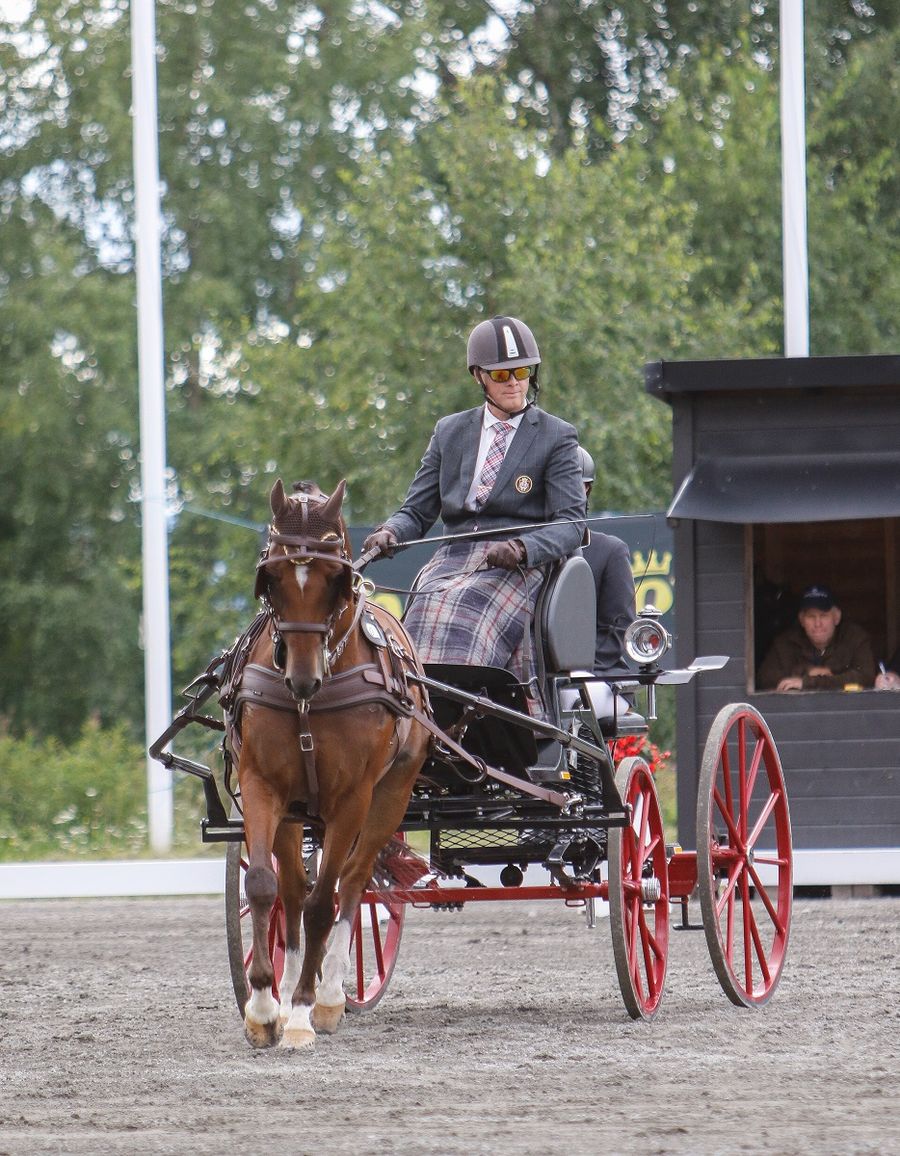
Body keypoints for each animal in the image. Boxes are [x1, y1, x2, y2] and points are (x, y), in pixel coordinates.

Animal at [235, 476, 432, 1049]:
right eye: (274, 577)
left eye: (332, 579)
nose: (302, 678)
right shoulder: (262, 784)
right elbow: (266, 886)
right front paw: (264, 1008)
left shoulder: (353, 798)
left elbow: (327, 900)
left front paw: (303, 1010)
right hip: (298, 813)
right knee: (294, 893)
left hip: (390, 796)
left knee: (354, 882)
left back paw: (328, 994)